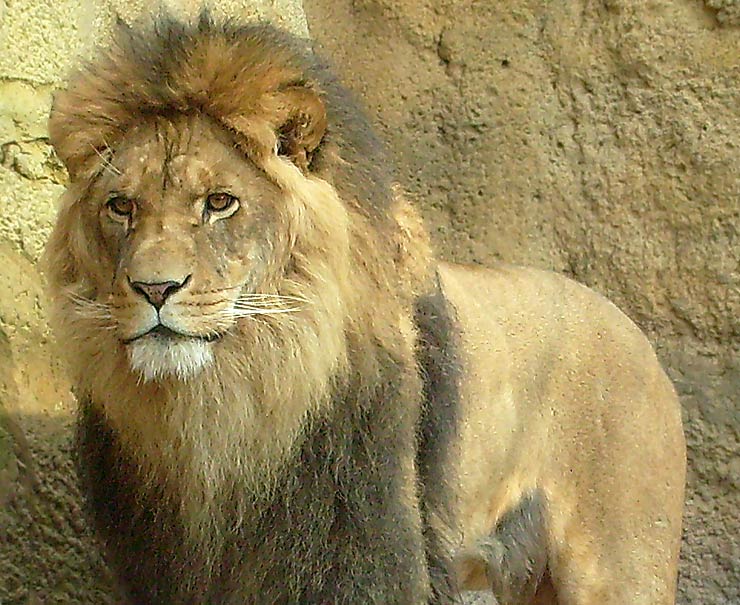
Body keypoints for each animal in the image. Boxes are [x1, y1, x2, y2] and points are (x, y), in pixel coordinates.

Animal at [43, 10, 684, 604]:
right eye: (121, 206)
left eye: (220, 202)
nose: (153, 289)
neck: (225, 420)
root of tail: (641, 340)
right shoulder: (159, 567)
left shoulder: (359, 547)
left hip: (620, 566)